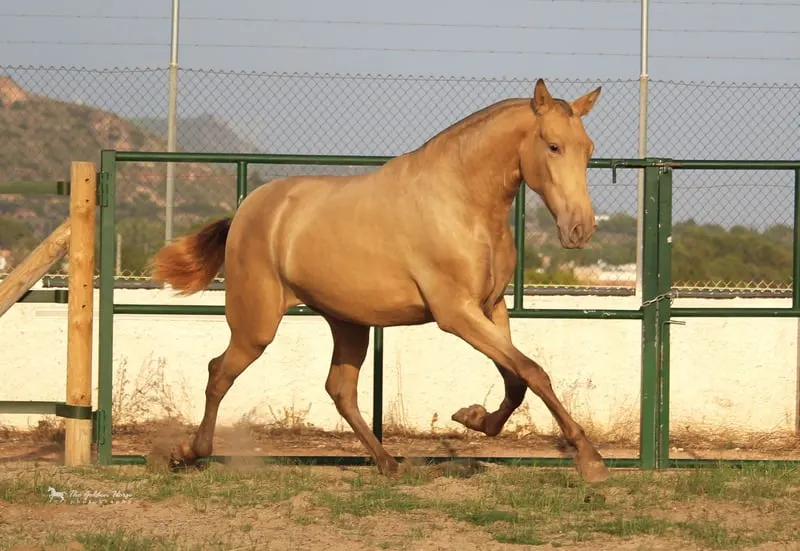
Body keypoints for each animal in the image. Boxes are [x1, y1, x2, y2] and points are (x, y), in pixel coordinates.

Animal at [151, 78, 610, 483]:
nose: (580, 229)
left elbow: (518, 379)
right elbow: (534, 371)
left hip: (347, 323)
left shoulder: (491, 308)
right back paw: (187, 453)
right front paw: (591, 461)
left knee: (339, 389)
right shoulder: (456, 314)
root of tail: (248, 209)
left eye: (589, 149)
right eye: (553, 146)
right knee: (219, 372)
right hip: (256, 326)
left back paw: (389, 464)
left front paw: (473, 417)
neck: (462, 202)